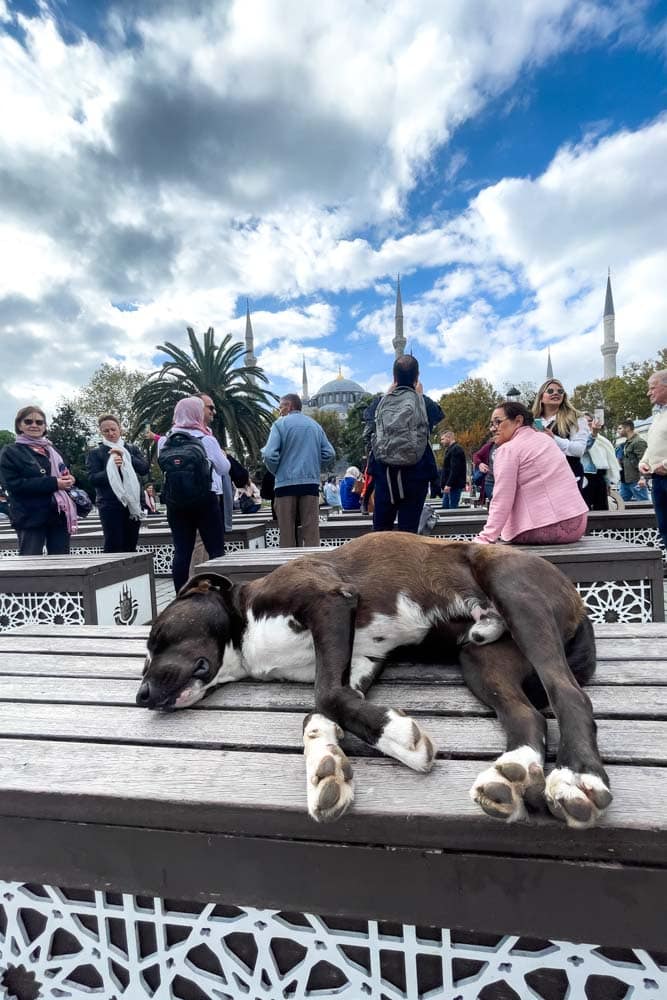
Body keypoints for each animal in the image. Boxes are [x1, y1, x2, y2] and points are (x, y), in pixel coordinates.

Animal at [138, 536, 612, 832]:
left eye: (157, 635)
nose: (141, 696)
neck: (245, 631)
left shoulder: (329, 601)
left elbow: (325, 695)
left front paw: (398, 736)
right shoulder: (359, 664)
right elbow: (320, 712)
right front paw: (327, 767)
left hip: (515, 592)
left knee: (568, 695)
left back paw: (575, 777)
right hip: (481, 658)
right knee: (527, 714)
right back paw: (513, 772)